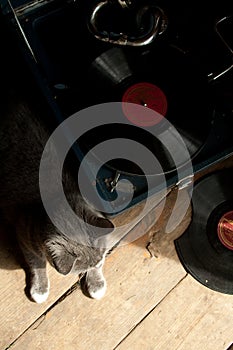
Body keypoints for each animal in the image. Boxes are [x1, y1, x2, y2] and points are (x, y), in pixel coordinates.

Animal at [0, 95, 114, 304]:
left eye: (100, 259)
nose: (100, 261)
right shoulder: (24, 236)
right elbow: (37, 263)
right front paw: (40, 289)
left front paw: (96, 283)